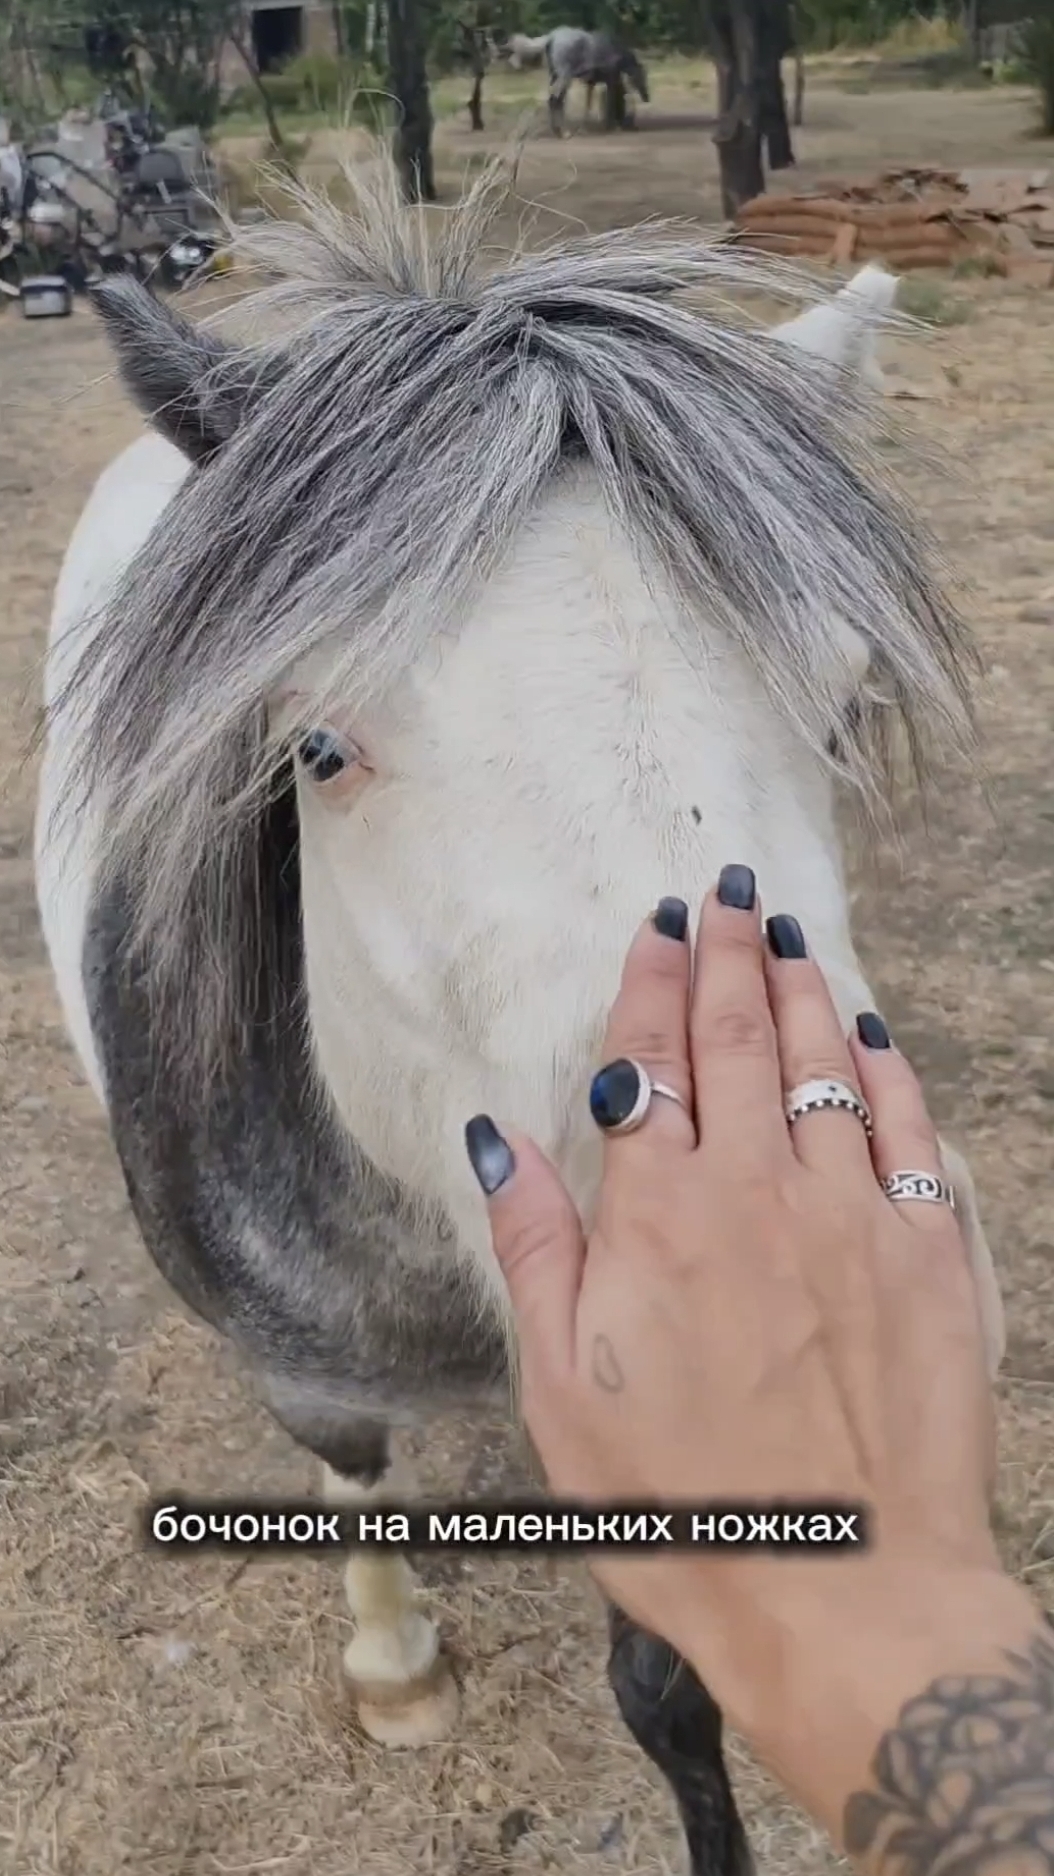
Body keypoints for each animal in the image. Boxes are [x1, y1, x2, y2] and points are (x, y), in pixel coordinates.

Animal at [34, 154, 1006, 1875]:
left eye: (838, 708)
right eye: (313, 749)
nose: (780, 1297)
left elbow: (670, 1691)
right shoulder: (308, 1365)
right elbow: (350, 1465)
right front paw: (395, 1669)